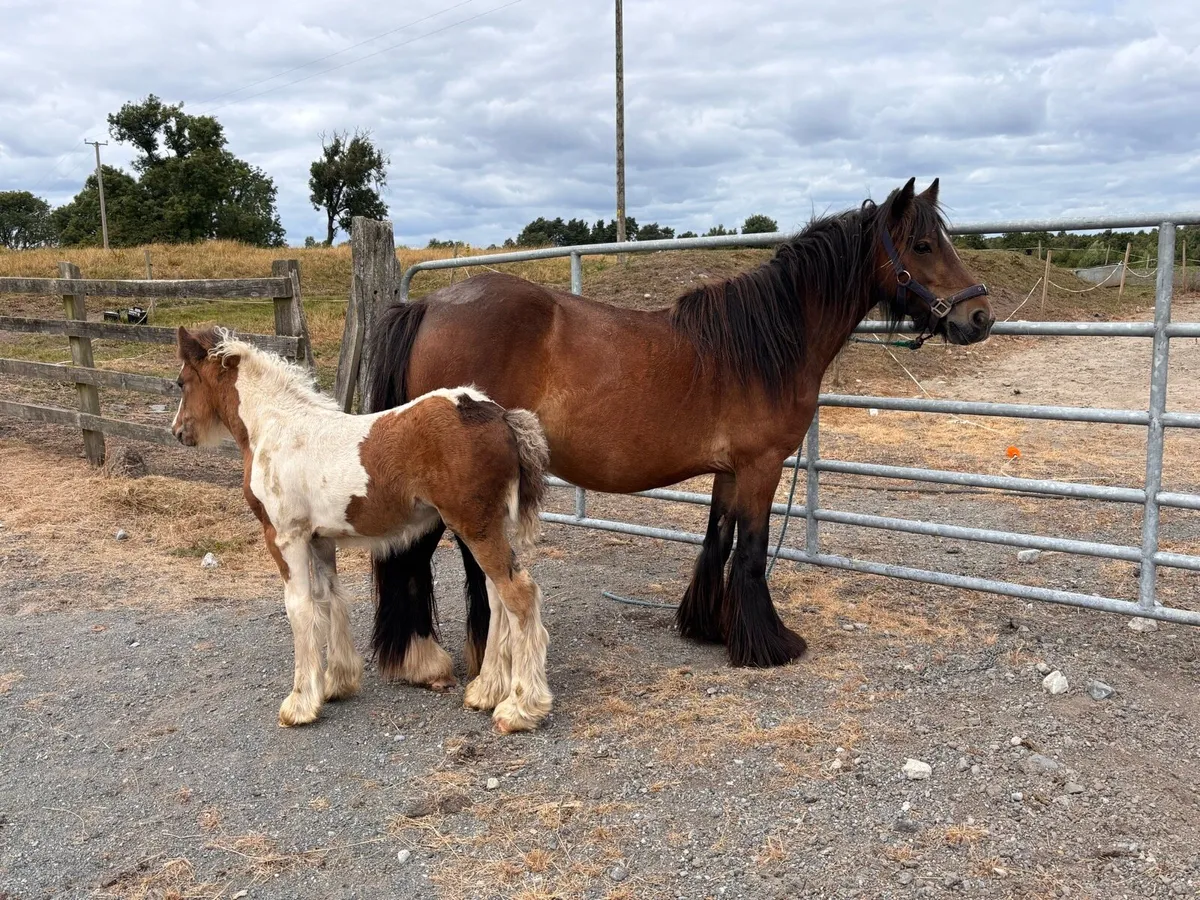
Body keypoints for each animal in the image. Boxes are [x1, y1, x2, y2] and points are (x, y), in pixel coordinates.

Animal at [170, 326, 553, 733]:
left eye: (181, 382)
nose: (178, 431)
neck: (278, 428)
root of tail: (500, 415)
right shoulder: (319, 539)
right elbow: (330, 598)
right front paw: (336, 684)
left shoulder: (284, 537)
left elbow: (300, 608)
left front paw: (300, 704)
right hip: (486, 527)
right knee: (498, 597)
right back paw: (486, 690)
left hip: (475, 526)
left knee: (519, 594)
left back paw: (520, 708)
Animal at [366, 177, 993, 675]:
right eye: (922, 244)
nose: (979, 316)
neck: (766, 342)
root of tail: (429, 305)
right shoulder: (763, 466)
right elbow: (751, 552)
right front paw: (769, 645)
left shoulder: (730, 470)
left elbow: (718, 540)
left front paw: (708, 627)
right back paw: (438, 659)